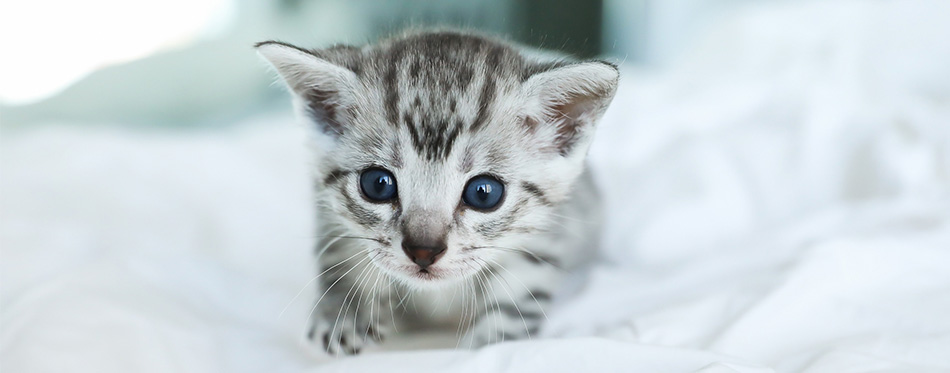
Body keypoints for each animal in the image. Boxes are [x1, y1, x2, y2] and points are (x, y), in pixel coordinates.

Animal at [256, 30, 620, 354]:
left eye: (484, 193)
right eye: (378, 184)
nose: (423, 251)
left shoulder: (543, 234)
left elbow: (519, 294)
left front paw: (489, 344)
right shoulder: (328, 209)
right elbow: (341, 251)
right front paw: (346, 309)